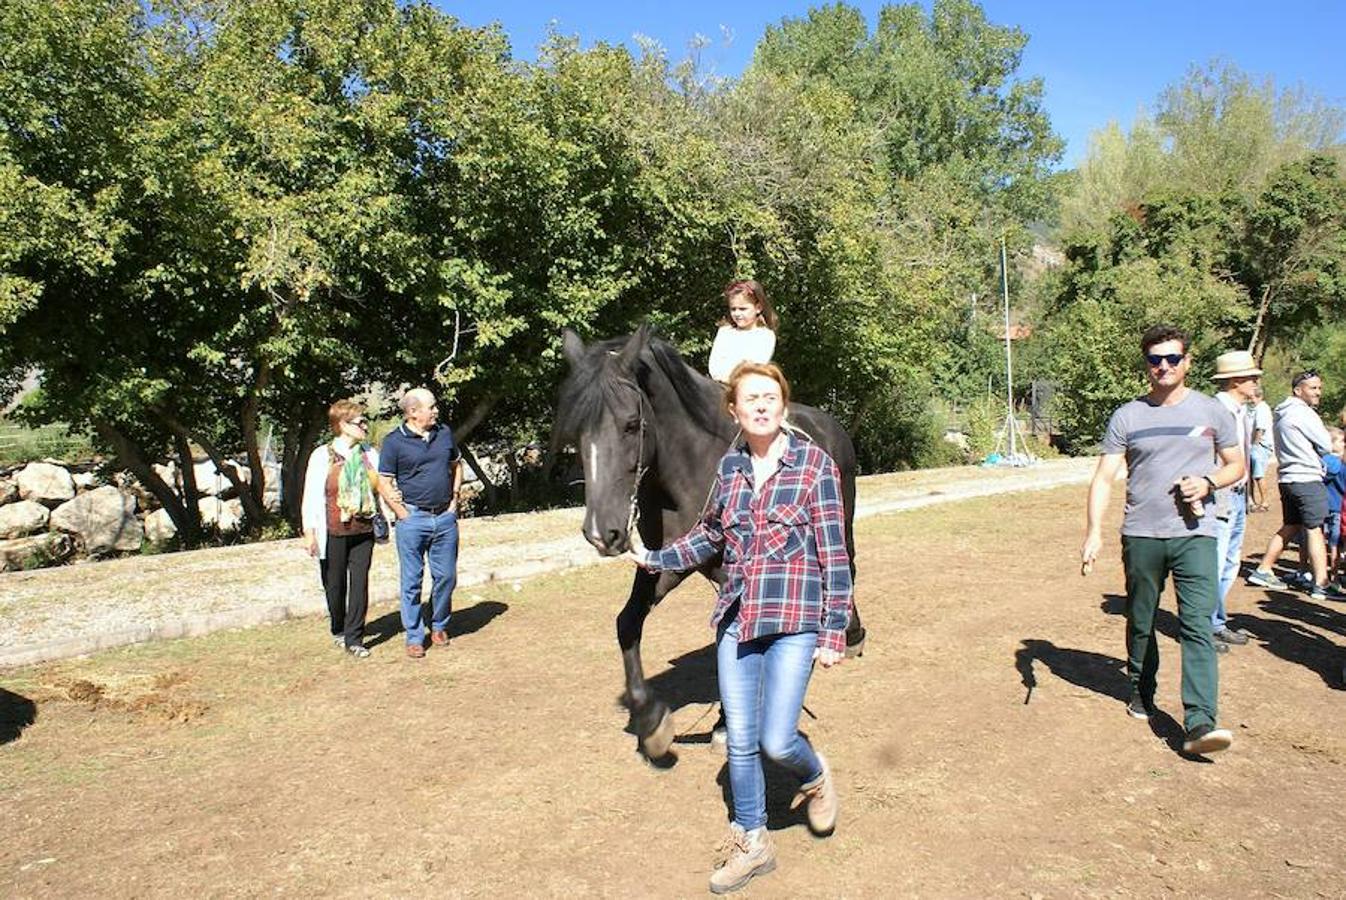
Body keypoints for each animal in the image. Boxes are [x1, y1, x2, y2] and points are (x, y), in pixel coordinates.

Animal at [551, 324, 866, 758]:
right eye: (578, 433)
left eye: (631, 424)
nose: (602, 532)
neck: (691, 468)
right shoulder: (665, 561)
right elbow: (628, 622)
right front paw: (651, 721)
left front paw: (723, 724)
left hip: (838, 522)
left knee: (844, 568)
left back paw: (848, 635)